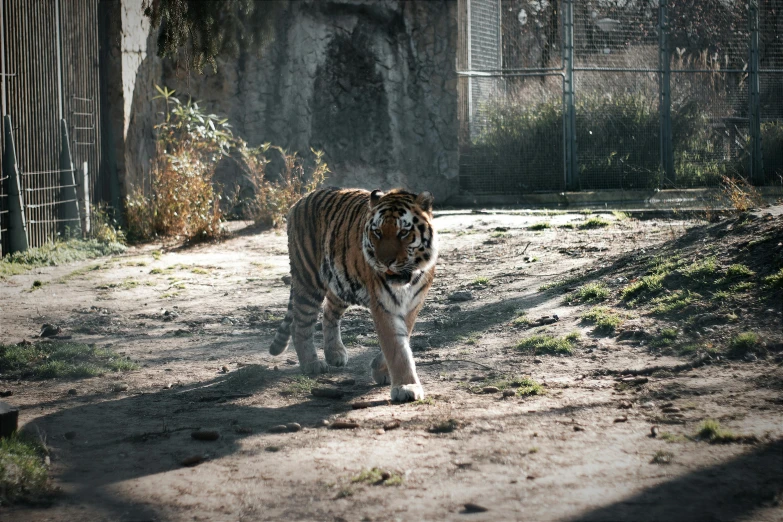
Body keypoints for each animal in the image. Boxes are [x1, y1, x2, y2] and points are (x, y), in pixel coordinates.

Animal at [268, 187, 440, 402]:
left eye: (403, 232)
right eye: (377, 232)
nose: (385, 262)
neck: (408, 280)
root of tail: (301, 200)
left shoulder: (413, 304)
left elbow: (403, 337)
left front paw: (380, 369)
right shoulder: (384, 304)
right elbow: (396, 346)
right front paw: (405, 386)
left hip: (341, 283)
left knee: (329, 314)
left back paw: (335, 353)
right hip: (308, 278)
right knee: (300, 323)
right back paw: (311, 364)